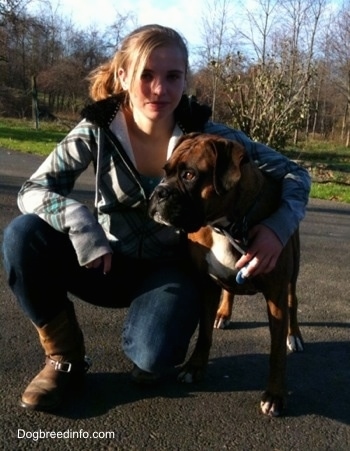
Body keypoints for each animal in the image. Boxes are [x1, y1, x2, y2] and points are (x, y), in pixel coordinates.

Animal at [149, 132, 304, 416]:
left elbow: (276, 352)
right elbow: (203, 333)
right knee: (228, 291)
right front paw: (195, 367)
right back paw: (223, 313)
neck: (226, 225)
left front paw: (275, 395)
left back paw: (294, 336)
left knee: (293, 301)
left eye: (189, 175)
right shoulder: (206, 284)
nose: (159, 192)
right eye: (165, 172)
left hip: (291, 276)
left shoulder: (275, 295)